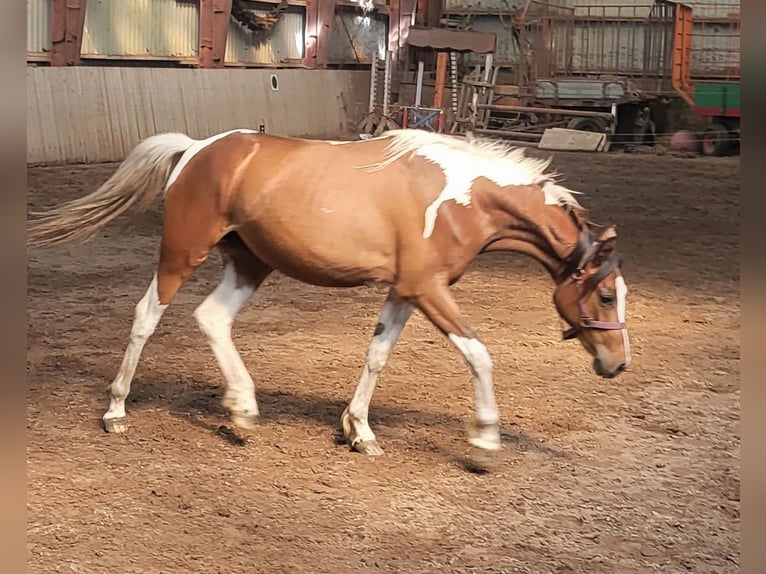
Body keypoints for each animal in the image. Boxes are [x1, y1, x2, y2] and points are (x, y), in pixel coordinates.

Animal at [27, 128, 631, 464]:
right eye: (605, 297)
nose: (617, 364)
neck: (466, 197)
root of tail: (195, 148)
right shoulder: (428, 289)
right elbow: (479, 354)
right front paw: (484, 442)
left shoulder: (405, 290)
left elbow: (377, 354)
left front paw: (359, 433)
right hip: (183, 251)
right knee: (146, 316)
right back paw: (116, 410)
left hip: (251, 261)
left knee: (212, 318)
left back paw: (243, 409)